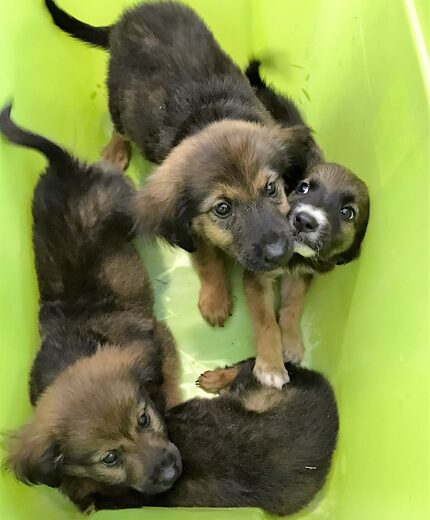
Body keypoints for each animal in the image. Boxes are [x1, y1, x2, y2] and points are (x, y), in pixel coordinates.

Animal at [0, 104, 181, 512]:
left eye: (143, 420)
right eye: (109, 458)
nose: (169, 473)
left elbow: (170, 377)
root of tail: (64, 168)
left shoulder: (159, 336)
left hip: (126, 205)